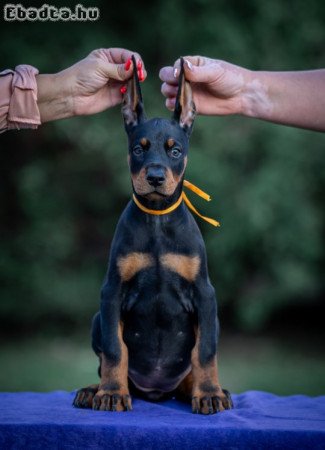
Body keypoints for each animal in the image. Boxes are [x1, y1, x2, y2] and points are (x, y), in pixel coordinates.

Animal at [72, 56, 232, 414]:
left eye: (175, 151)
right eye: (138, 149)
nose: (156, 177)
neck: (158, 220)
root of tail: (157, 391)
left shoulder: (205, 294)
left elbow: (205, 352)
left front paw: (209, 393)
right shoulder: (112, 292)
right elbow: (115, 349)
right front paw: (111, 393)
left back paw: (202, 390)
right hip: (96, 319)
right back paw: (93, 389)